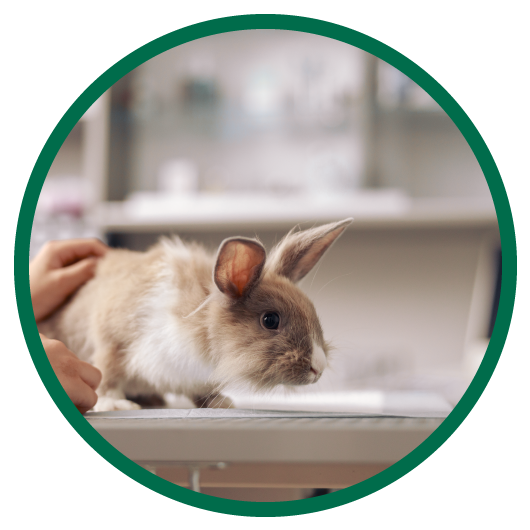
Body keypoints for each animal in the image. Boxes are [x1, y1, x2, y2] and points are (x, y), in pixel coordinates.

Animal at [37, 217, 350, 410]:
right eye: (270, 320)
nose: (318, 367)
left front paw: (222, 403)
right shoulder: (112, 341)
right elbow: (107, 375)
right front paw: (115, 404)